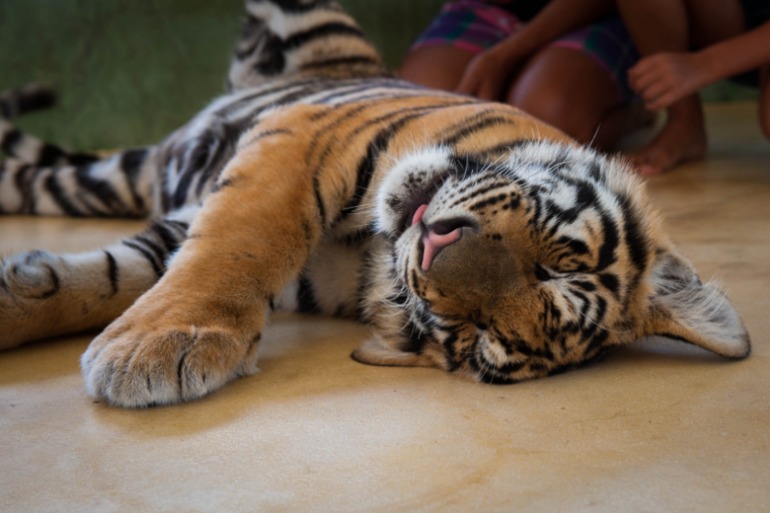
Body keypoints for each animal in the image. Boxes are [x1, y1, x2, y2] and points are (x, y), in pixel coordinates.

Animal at [0, 0, 750, 408]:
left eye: (479, 335)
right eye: (556, 264)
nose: (431, 247)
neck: (369, 253)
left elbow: (113, 279)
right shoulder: (300, 141)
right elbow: (239, 243)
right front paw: (161, 346)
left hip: (82, 184)